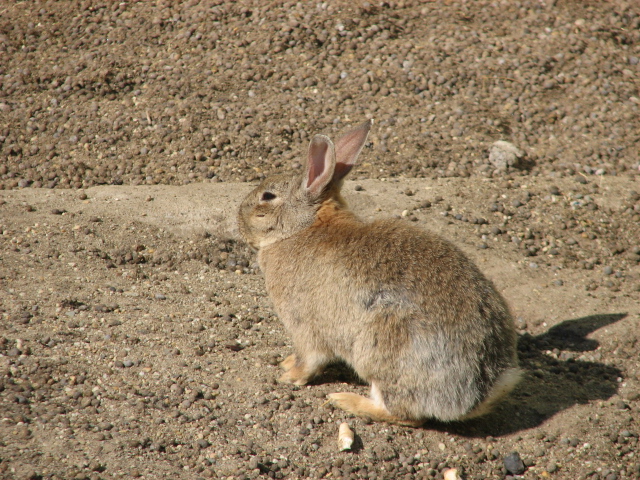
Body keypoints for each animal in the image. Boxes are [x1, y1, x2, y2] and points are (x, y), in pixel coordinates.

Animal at [238, 119, 521, 426]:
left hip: (382, 349)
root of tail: (479, 393)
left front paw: (288, 375)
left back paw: (345, 400)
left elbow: (309, 359)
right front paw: (287, 362)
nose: (239, 220)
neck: (303, 227)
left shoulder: (304, 324)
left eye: (267, 197)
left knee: (405, 413)